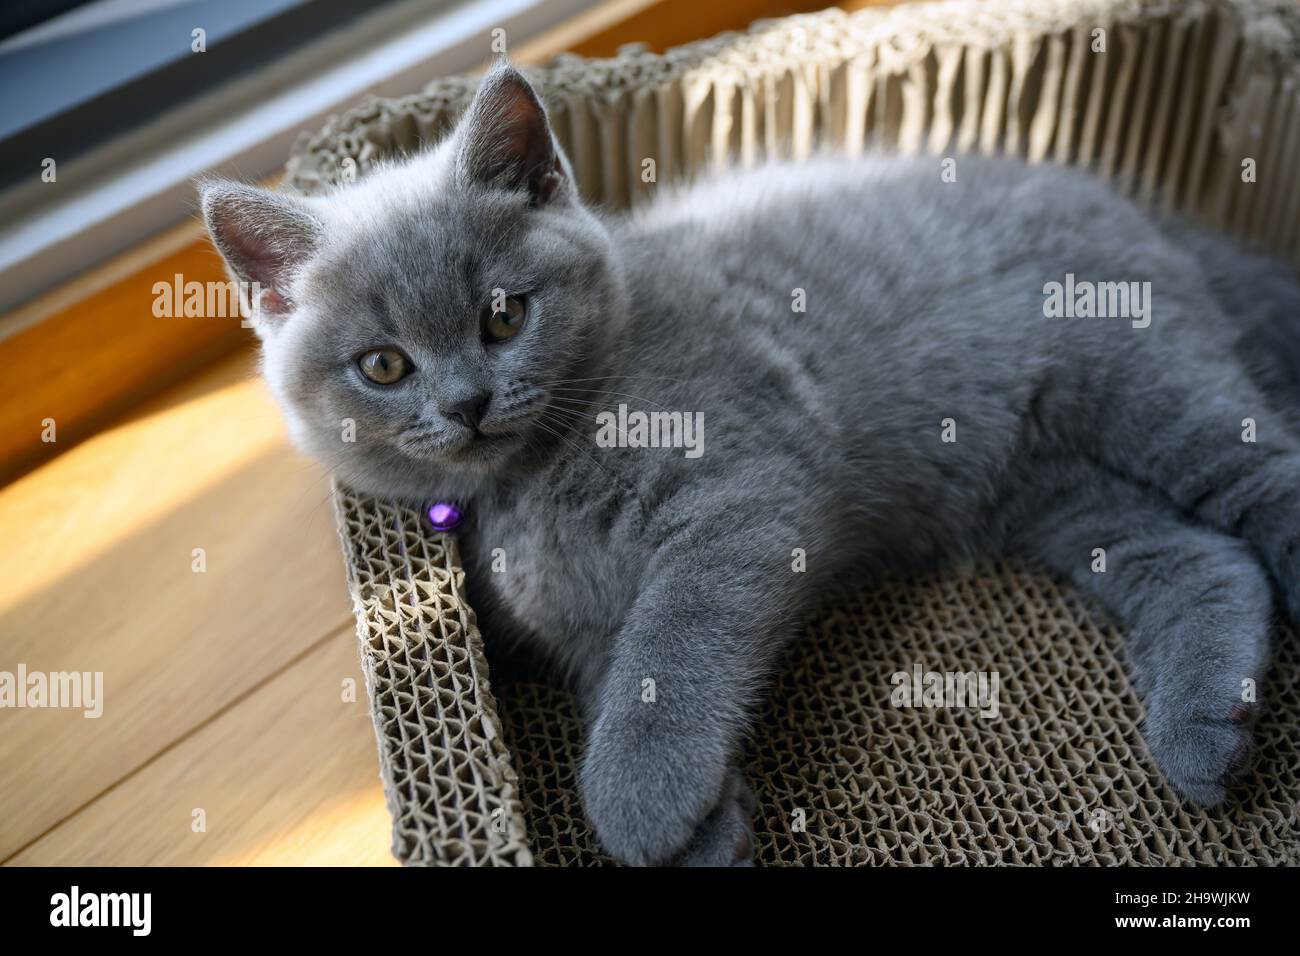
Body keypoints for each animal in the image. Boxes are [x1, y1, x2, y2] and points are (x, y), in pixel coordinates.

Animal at [200, 59, 1300, 868]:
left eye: (503, 315)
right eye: (383, 365)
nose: (465, 404)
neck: (531, 483)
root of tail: (1109, 191)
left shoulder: (743, 493)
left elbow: (675, 642)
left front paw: (640, 799)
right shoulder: (579, 632)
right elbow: (614, 680)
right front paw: (705, 832)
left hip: (1136, 377)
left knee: (1260, 478)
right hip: (1044, 483)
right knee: (1199, 555)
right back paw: (1205, 729)